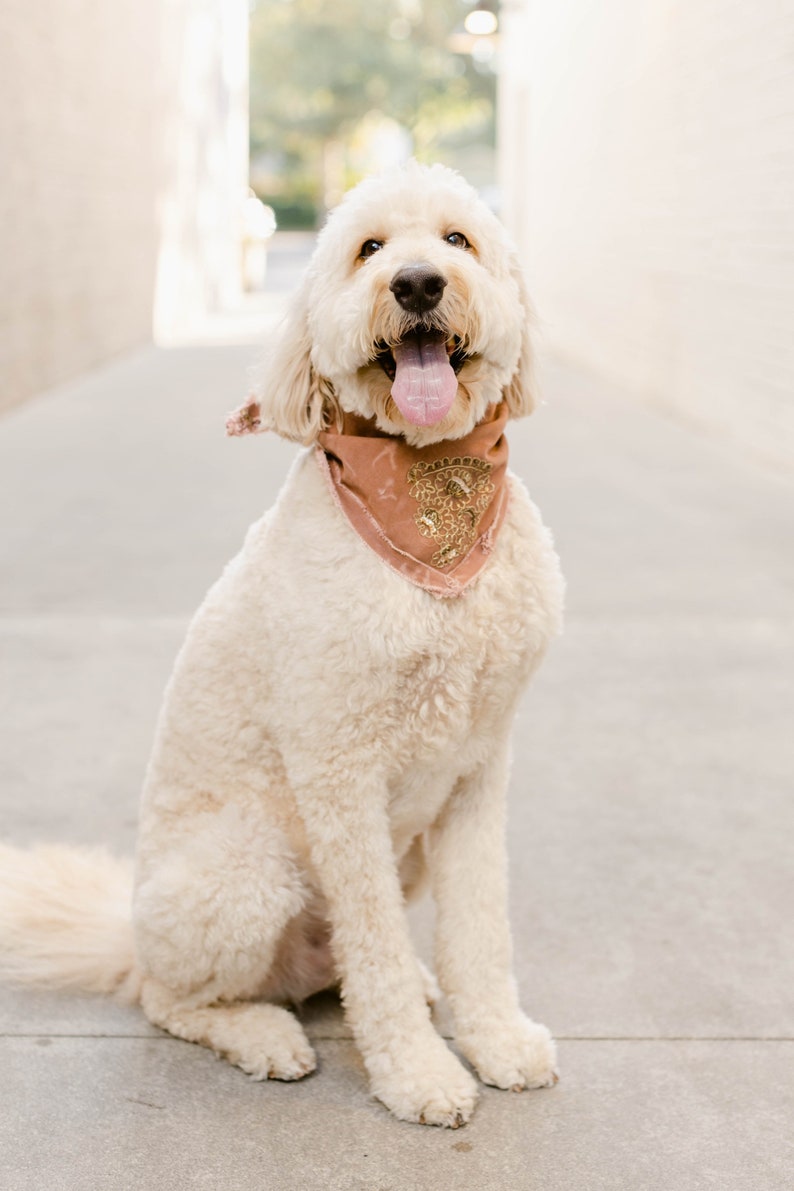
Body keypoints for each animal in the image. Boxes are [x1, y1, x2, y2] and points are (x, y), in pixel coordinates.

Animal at [0, 160, 564, 1124]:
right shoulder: (339, 770)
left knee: (332, 967)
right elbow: (373, 941)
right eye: (369, 249)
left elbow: (481, 926)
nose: (418, 283)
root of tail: (129, 935)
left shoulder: (477, 768)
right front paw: (418, 1074)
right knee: (175, 999)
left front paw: (495, 1039)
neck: (427, 487)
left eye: (457, 240)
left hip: (399, 855)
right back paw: (263, 1033)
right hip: (247, 871)